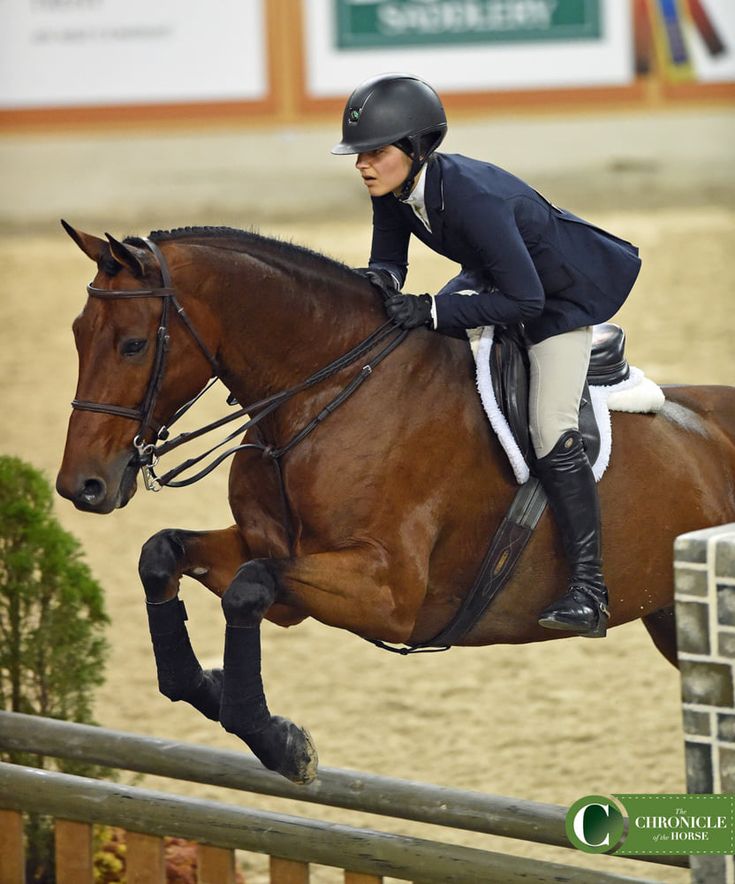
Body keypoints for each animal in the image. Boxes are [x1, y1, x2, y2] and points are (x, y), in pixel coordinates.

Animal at [56, 223, 735, 780]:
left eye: (134, 345)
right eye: (77, 335)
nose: (80, 486)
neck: (326, 390)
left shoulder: (387, 595)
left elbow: (248, 588)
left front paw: (281, 744)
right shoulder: (277, 567)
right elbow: (163, 555)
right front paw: (217, 692)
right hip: (670, 617)